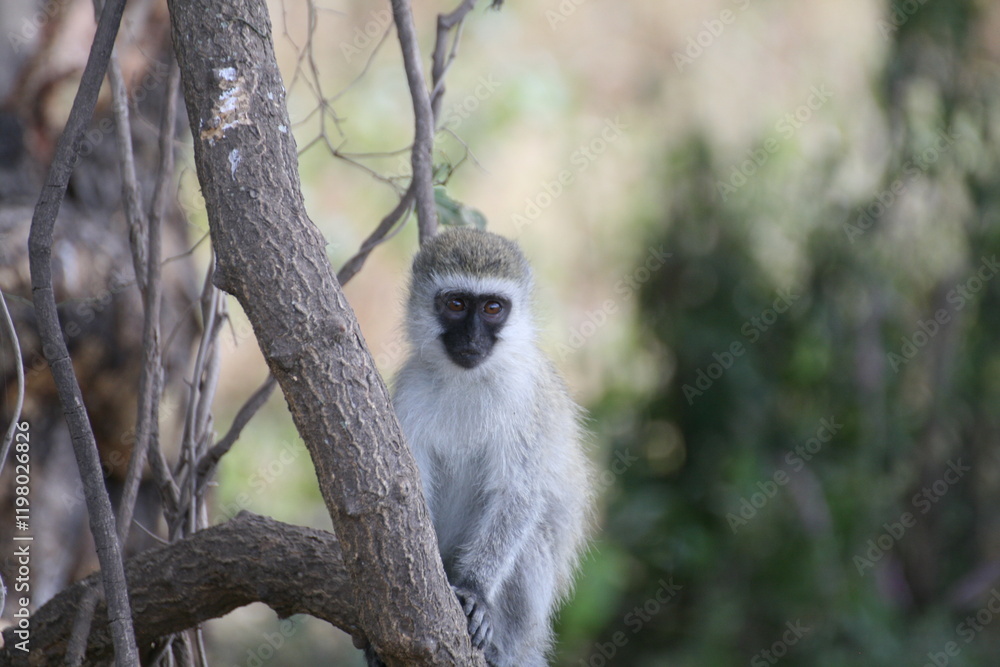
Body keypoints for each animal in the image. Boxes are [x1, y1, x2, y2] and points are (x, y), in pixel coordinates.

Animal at [366, 227, 592, 667]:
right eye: (456, 304)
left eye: (492, 308)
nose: (472, 337)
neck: (467, 379)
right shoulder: (410, 393)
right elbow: (413, 496)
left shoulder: (523, 399)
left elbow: (518, 494)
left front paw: (474, 590)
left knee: (530, 542)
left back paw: (500, 645)